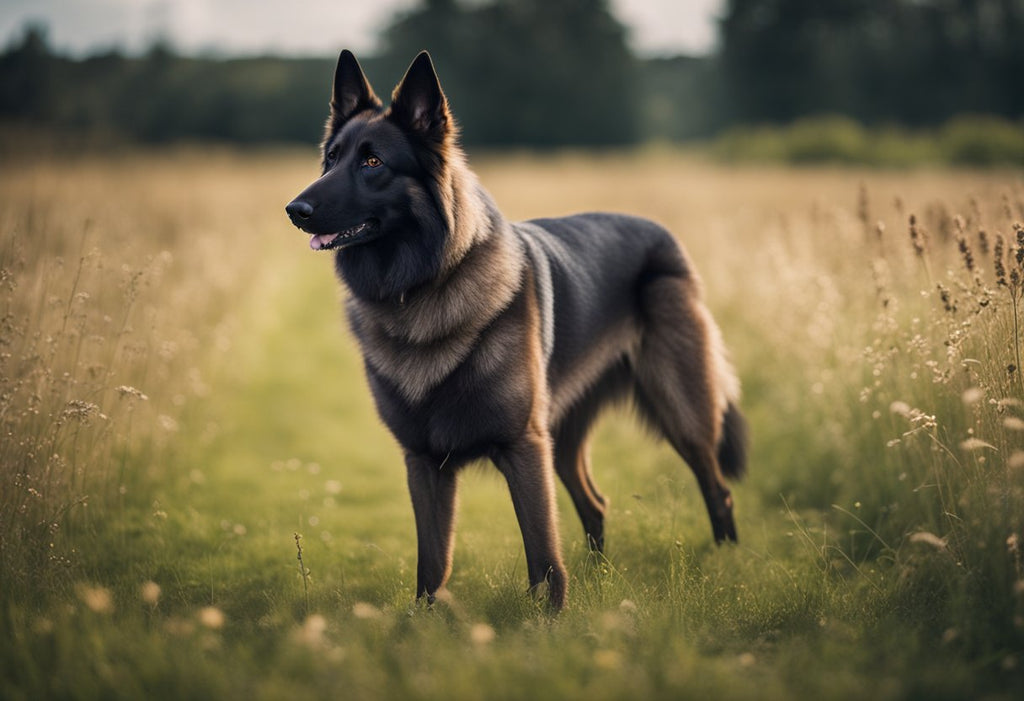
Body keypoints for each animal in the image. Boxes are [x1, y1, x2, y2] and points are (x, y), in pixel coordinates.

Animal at [284, 50, 749, 605]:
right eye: (331, 159)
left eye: (372, 163)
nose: (294, 210)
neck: (421, 289)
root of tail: (662, 233)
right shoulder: (423, 462)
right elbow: (431, 564)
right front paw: (424, 619)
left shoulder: (523, 448)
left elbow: (543, 557)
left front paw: (551, 621)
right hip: (565, 443)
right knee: (596, 504)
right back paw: (602, 578)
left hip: (679, 411)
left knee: (717, 489)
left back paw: (726, 563)